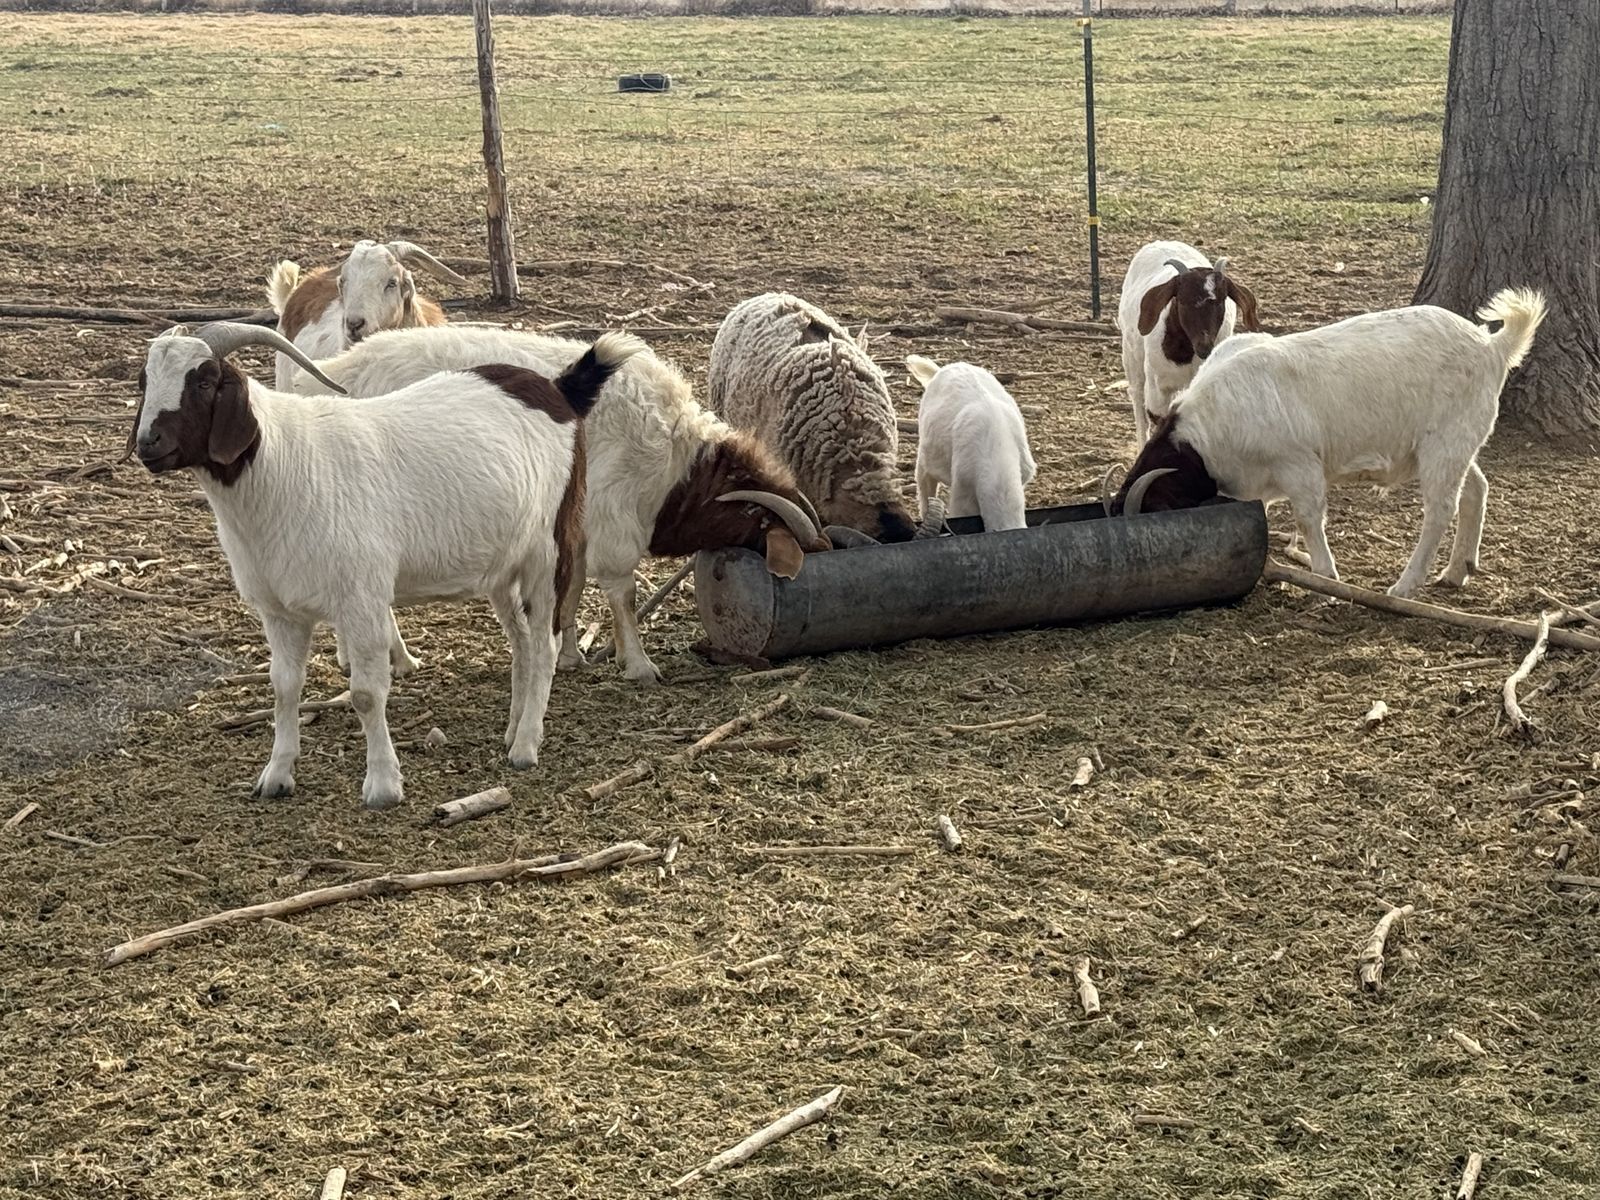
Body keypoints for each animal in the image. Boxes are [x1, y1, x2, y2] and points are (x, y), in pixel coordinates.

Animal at [133, 321, 640, 809]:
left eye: (203, 381)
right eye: (144, 380)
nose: (146, 442)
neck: (283, 467)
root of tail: (556, 389)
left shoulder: (360, 598)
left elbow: (364, 693)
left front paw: (382, 786)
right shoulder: (278, 609)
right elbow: (284, 687)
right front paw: (276, 776)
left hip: (550, 548)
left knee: (545, 645)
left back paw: (526, 746)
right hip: (502, 564)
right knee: (521, 642)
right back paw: (513, 730)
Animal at [290, 324, 831, 685]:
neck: (680, 466)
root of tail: (325, 378)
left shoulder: (577, 525)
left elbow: (569, 590)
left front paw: (570, 654)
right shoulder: (615, 519)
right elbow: (621, 592)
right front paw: (638, 665)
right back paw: (400, 659)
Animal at [1109, 289, 1546, 599]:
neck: (1209, 426)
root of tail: (1491, 346)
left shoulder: (1299, 466)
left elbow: (1308, 518)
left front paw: (1326, 582)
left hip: (1444, 443)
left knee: (1440, 510)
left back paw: (1405, 586)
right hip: (1456, 443)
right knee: (1476, 488)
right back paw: (1457, 572)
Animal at [1118, 240, 1260, 444]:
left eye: (1221, 300)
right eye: (1182, 300)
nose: (1204, 346)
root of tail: (1162, 242)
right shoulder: (1157, 387)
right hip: (1132, 357)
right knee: (1137, 398)